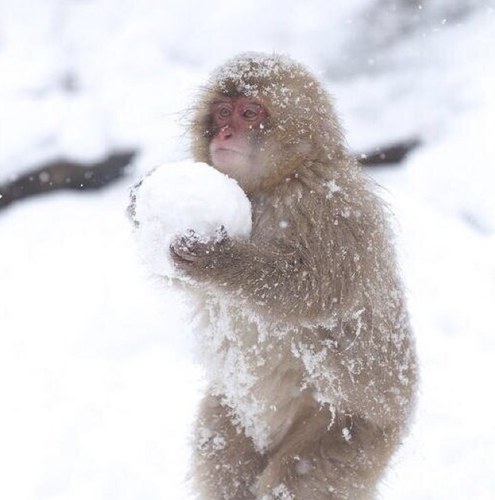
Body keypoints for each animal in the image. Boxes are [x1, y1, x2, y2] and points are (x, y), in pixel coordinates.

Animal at [169, 51, 416, 500]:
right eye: (223, 111)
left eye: (250, 113)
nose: (225, 131)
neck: (277, 181)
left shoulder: (331, 209)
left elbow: (313, 292)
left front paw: (219, 261)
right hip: (236, 410)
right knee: (222, 450)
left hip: (353, 435)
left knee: (300, 477)